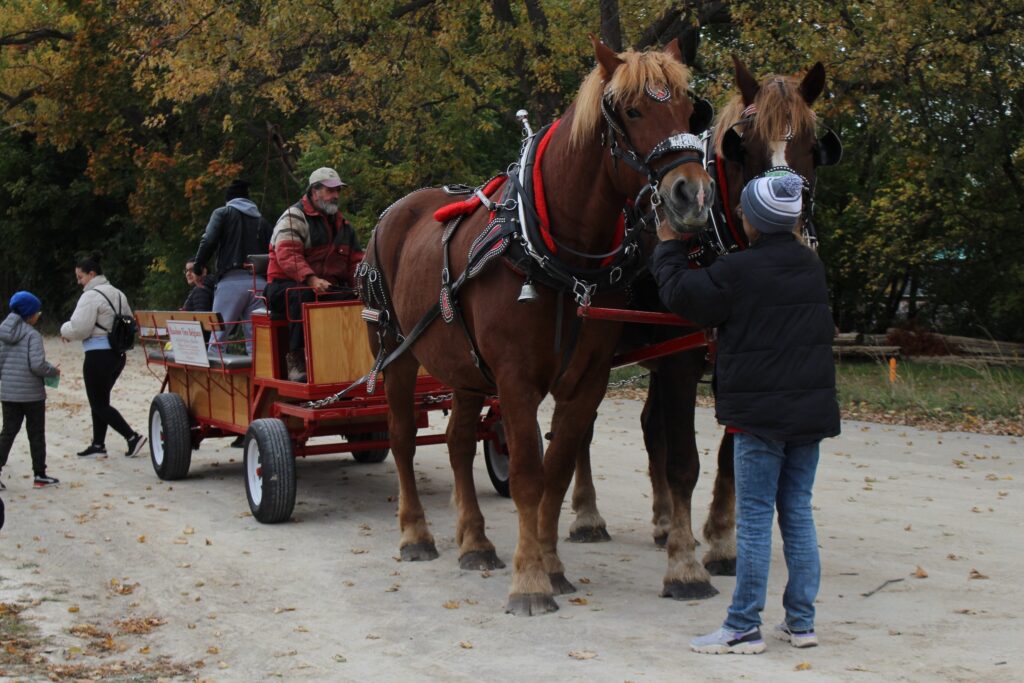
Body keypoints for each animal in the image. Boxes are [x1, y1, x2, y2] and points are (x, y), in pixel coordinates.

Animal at [366, 36, 712, 614]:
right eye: (633, 110)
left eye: (690, 110)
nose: (693, 195)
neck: (554, 254)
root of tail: (395, 212)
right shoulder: (515, 379)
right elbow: (528, 474)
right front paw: (529, 580)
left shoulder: (587, 379)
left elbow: (558, 469)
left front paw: (551, 564)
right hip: (396, 351)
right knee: (401, 438)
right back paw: (415, 534)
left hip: (464, 366)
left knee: (459, 441)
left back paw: (475, 542)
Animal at [569, 57, 839, 598]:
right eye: (744, 147)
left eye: (810, 145)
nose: (786, 214)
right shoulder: (679, 361)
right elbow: (684, 462)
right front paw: (685, 568)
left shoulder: (734, 362)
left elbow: (730, 458)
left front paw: (720, 543)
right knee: (583, 426)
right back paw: (588, 515)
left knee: (648, 427)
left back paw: (663, 522)